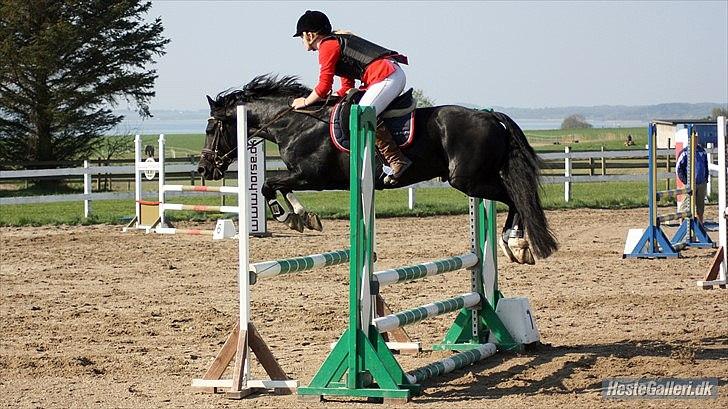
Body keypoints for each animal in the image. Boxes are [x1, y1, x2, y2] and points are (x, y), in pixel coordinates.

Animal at [196, 75, 556, 262]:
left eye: (211, 128)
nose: (203, 168)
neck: (297, 123)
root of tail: (490, 116)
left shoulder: (312, 175)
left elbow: (269, 185)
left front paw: (291, 217)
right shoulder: (305, 177)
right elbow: (279, 186)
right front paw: (304, 216)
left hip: (468, 180)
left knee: (515, 198)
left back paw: (515, 244)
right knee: (516, 197)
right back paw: (516, 243)